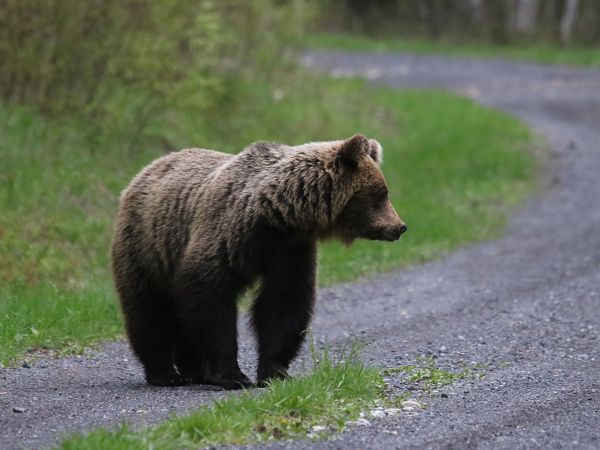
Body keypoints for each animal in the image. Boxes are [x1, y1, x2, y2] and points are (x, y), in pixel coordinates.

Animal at [110, 134, 406, 390]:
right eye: (381, 194)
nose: (400, 227)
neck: (277, 216)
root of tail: (144, 172)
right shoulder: (227, 233)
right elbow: (210, 297)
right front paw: (232, 376)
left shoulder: (289, 250)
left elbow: (283, 303)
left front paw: (274, 372)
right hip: (147, 249)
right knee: (148, 310)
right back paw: (165, 374)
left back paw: (193, 370)